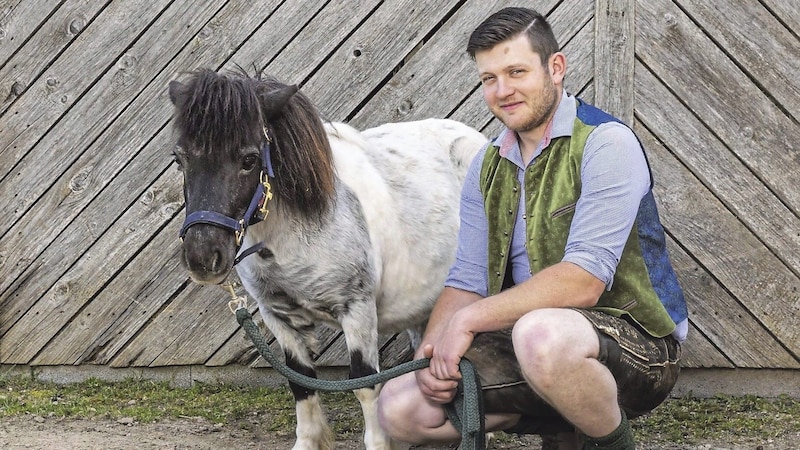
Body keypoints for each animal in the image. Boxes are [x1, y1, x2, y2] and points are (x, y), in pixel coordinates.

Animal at [166, 67, 484, 450]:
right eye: (180, 159)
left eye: (248, 160)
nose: (202, 257)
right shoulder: (277, 316)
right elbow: (301, 382)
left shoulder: (357, 310)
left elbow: (364, 384)